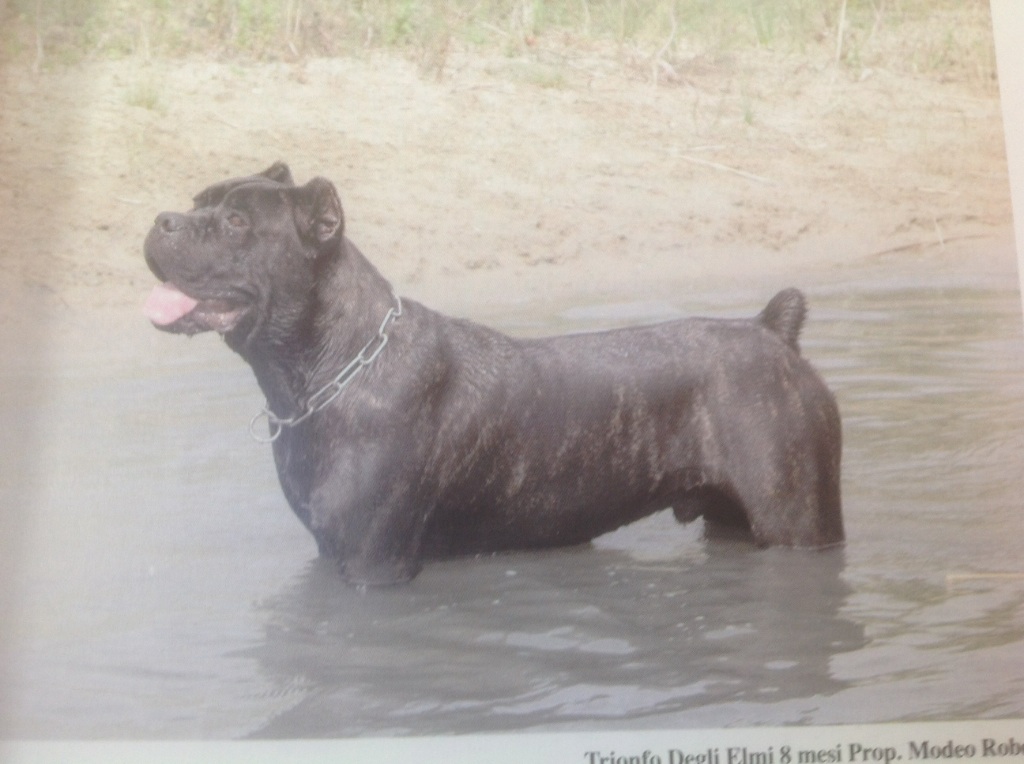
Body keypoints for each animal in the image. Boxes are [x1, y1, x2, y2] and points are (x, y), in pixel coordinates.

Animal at [146, 161, 847, 581]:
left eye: (236, 221)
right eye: (196, 202)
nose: (162, 219)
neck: (334, 366)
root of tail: (772, 331)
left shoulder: (370, 561)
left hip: (797, 518)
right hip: (734, 518)